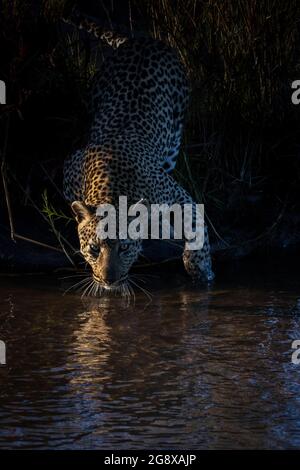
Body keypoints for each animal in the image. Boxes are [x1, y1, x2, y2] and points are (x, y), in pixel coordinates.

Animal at [62, 12, 213, 296]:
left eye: (124, 248)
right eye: (94, 249)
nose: (109, 280)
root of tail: (140, 40)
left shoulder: (179, 195)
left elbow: (197, 229)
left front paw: (201, 271)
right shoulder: (69, 171)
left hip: (175, 134)